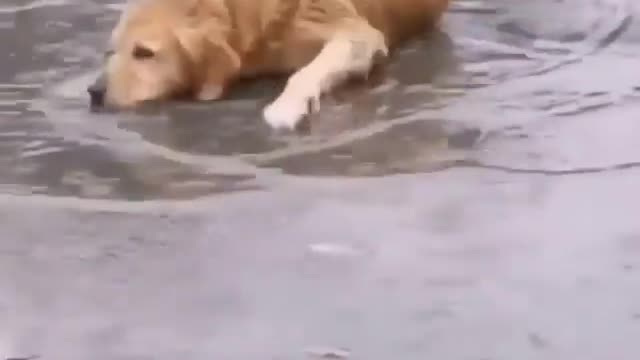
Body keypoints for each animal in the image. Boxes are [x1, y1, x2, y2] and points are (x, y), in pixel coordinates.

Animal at [89, 0, 450, 129]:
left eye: (144, 52)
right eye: (112, 50)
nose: (94, 92)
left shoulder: (355, 31)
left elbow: (306, 72)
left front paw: (286, 108)